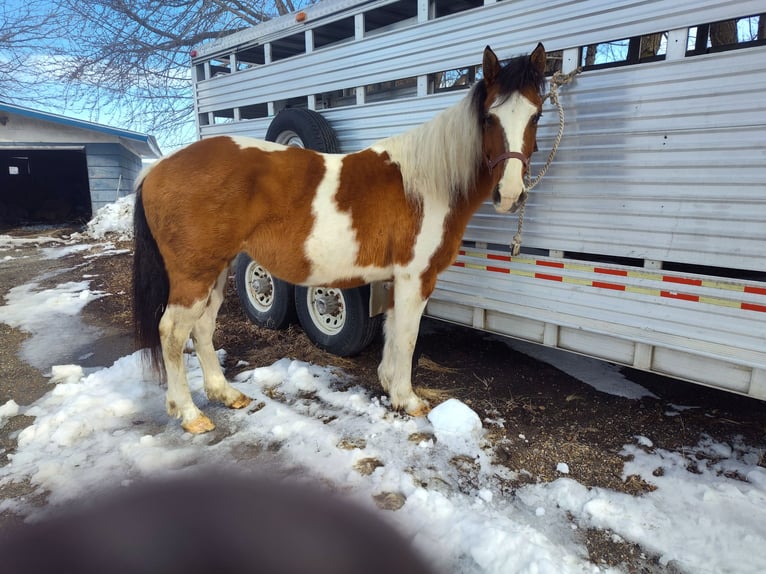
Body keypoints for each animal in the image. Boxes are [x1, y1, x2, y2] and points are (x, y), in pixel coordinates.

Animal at [135, 44, 548, 432]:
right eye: (490, 117)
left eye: (537, 115)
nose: (510, 194)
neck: (425, 184)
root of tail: (158, 169)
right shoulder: (415, 277)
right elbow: (408, 336)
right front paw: (408, 400)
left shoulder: (394, 279)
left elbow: (393, 333)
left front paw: (390, 386)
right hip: (193, 276)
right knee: (172, 333)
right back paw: (190, 414)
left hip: (216, 271)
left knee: (202, 327)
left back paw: (225, 393)